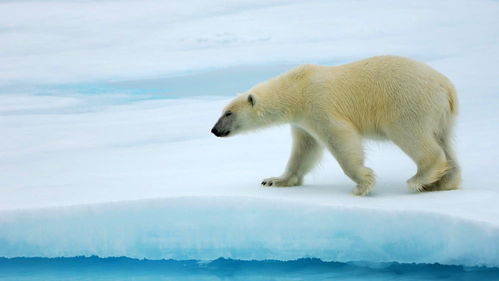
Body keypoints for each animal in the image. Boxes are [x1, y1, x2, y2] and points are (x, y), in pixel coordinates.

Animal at [210, 54, 460, 195]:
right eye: (222, 112)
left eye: (228, 113)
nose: (214, 130)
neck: (296, 89)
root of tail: (446, 87)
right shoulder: (302, 121)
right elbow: (304, 149)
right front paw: (274, 180)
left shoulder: (318, 104)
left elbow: (339, 137)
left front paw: (363, 183)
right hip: (440, 115)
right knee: (445, 141)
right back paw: (442, 182)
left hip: (407, 103)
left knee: (412, 136)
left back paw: (420, 178)